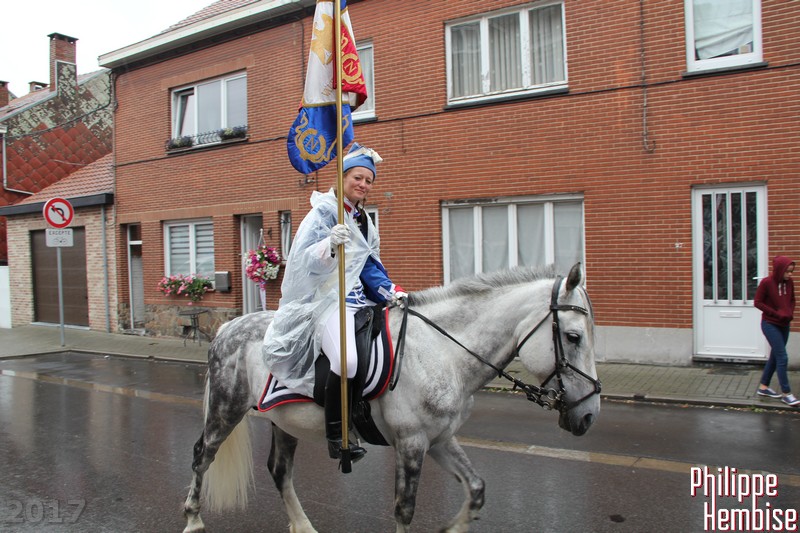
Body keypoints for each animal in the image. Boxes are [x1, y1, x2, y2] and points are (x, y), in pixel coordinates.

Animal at [182, 263, 601, 532]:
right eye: (574, 336)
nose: (589, 415)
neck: (443, 350)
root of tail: (227, 329)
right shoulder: (411, 442)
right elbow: (404, 510)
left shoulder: (440, 438)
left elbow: (477, 489)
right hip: (226, 409)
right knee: (202, 455)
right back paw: (193, 519)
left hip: (283, 420)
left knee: (279, 471)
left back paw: (303, 526)